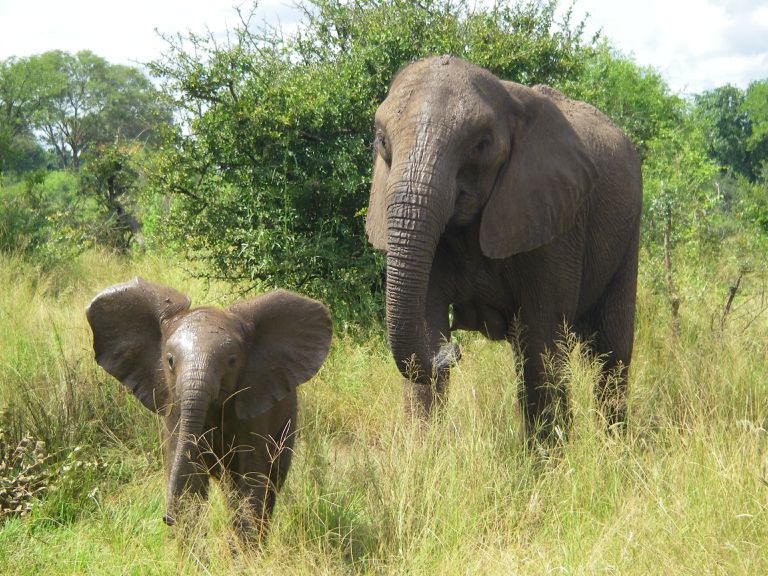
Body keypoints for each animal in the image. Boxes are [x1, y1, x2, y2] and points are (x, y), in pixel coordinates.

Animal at [88, 278, 332, 540]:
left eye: (232, 361)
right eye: (170, 360)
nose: (166, 518)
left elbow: (251, 478)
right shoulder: (174, 407)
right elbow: (191, 482)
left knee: (269, 482)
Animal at [366, 57, 640, 436]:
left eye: (482, 145)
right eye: (381, 141)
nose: (453, 350)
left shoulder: (556, 223)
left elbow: (542, 343)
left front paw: (549, 453)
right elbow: (425, 325)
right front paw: (424, 448)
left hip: (629, 230)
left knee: (611, 351)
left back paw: (614, 441)